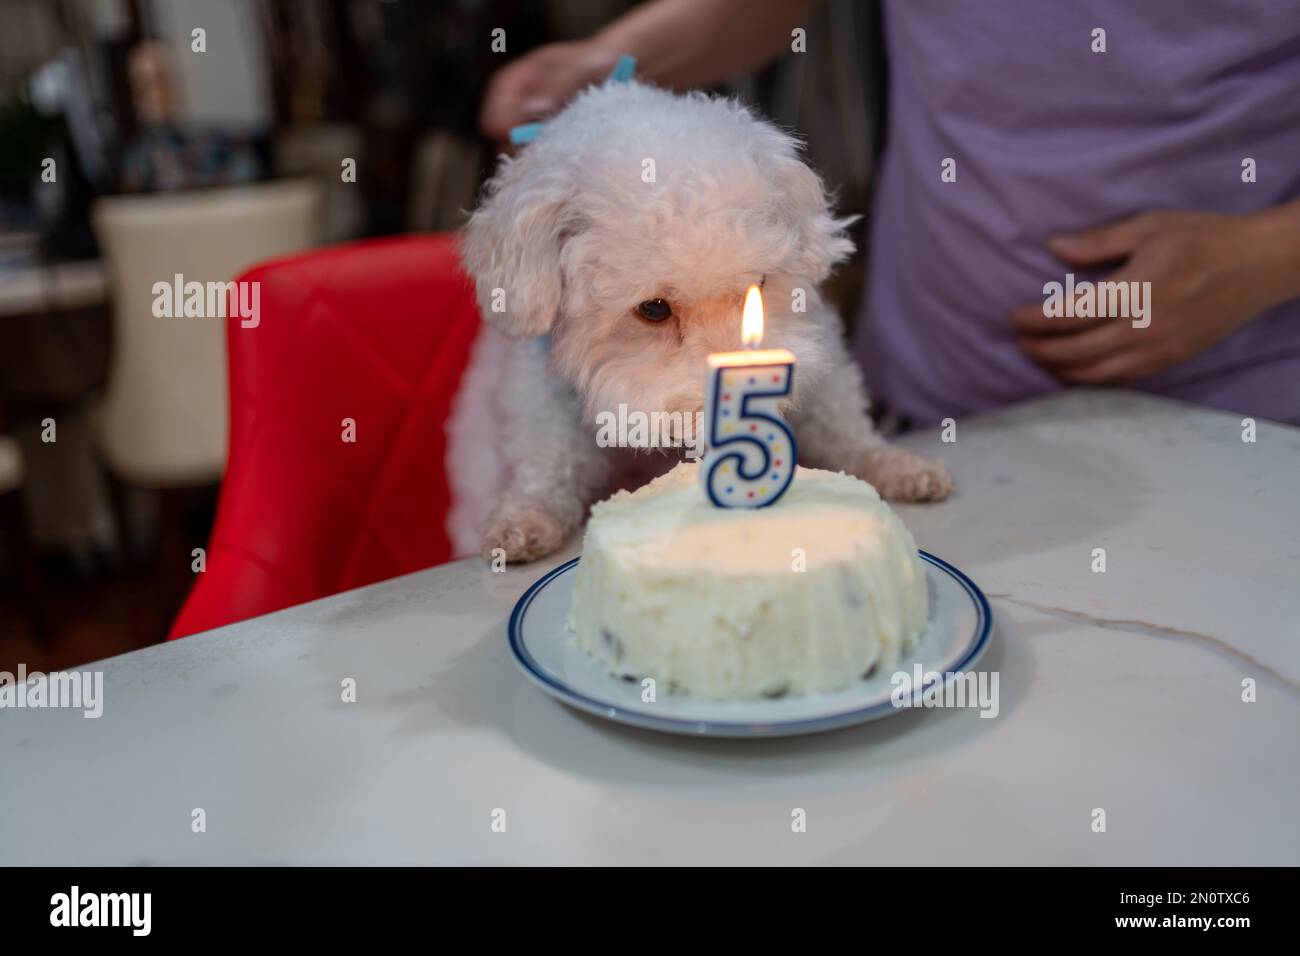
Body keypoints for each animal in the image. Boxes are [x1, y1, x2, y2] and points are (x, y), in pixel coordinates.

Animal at [460, 80, 956, 567]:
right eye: (654, 309)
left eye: (758, 284)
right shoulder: (545, 392)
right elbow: (547, 455)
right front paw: (526, 516)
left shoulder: (816, 344)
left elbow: (840, 418)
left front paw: (892, 464)